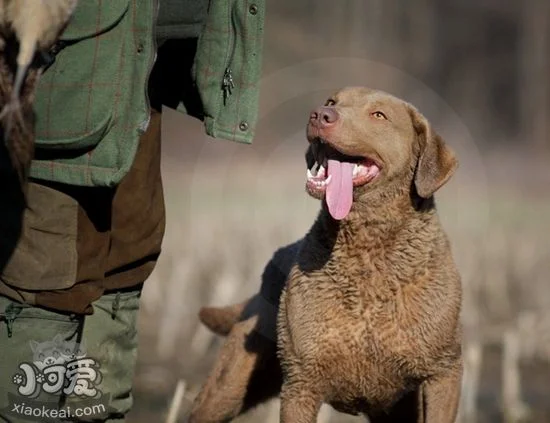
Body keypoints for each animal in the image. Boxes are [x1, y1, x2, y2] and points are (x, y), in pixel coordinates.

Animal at [192, 87, 464, 423]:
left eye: (379, 115)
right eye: (332, 102)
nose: (320, 115)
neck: (368, 254)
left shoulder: (442, 372)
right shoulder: (302, 382)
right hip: (230, 383)